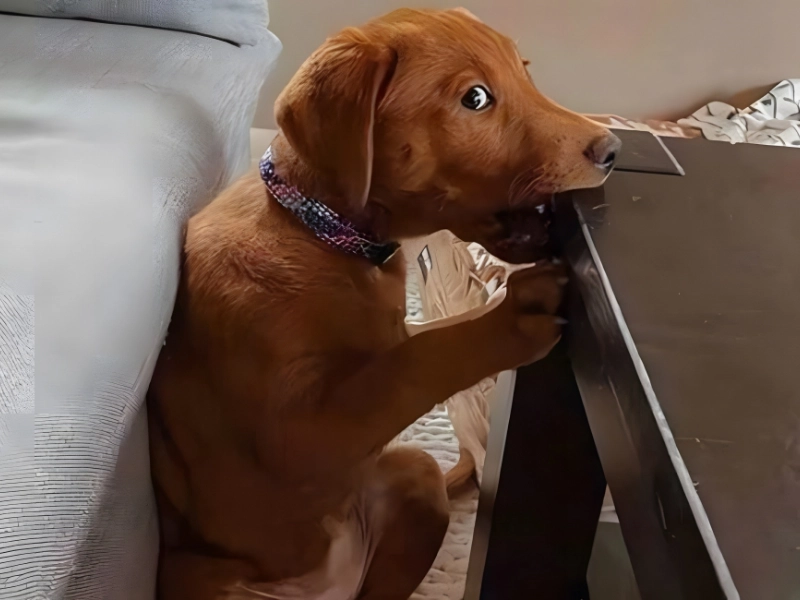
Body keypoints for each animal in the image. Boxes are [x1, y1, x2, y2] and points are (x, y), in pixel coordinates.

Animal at [147, 8, 620, 599]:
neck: (324, 233)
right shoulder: (295, 438)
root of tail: (330, 584)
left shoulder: (391, 340)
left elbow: (420, 345)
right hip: (209, 581)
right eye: (476, 98)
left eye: (525, 71)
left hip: (414, 474)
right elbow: (410, 365)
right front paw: (515, 313)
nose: (612, 150)